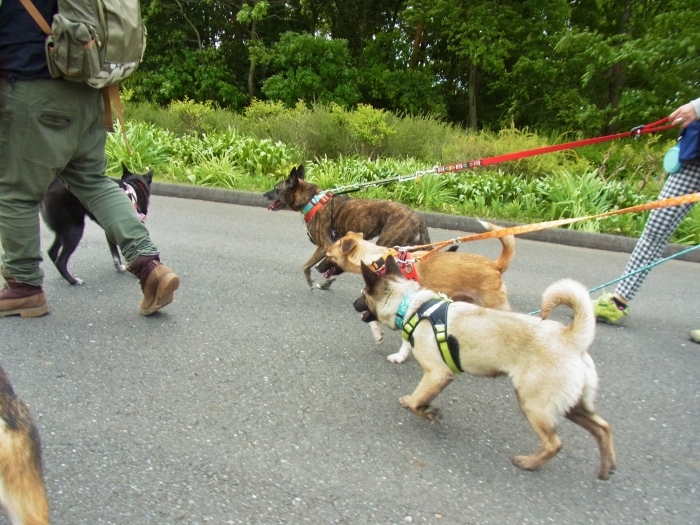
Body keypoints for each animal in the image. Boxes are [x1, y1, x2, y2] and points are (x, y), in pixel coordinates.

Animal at [262, 166, 430, 288]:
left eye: (276, 189)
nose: (264, 194)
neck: (311, 200)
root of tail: (419, 220)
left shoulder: (324, 246)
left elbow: (306, 266)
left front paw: (312, 281)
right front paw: (326, 282)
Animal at [322, 219, 516, 362]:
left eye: (328, 256)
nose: (317, 267)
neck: (378, 260)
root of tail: (495, 266)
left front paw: (400, 355)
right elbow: (371, 317)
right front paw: (377, 334)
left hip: (494, 305)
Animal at [358, 256, 616, 482]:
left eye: (362, 294)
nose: (353, 304)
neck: (411, 306)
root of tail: (571, 337)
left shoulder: (437, 375)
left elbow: (417, 402)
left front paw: (428, 411)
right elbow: (419, 399)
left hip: (533, 404)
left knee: (554, 443)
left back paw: (528, 463)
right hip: (572, 405)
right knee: (603, 428)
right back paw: (606, 467)